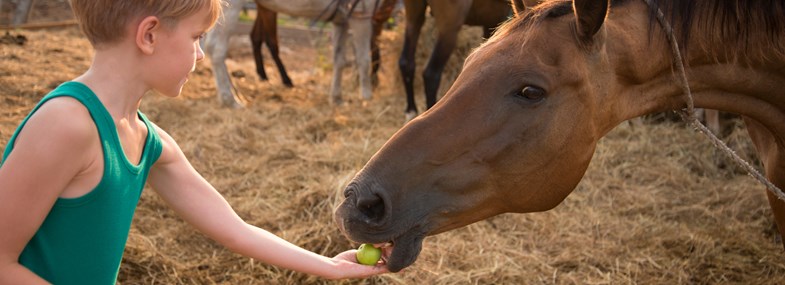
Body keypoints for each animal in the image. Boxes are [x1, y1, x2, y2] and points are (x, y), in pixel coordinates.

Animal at [205, 0, 376, 106]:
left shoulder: (341, 20)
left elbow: (339, 60)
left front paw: (337, 98)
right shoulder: (361, 14)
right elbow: (364, 60)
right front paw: (366, 97)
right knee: (216, 48)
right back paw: (230, 99)